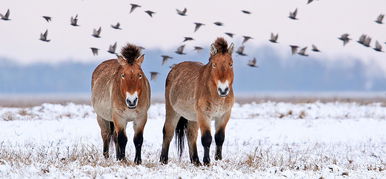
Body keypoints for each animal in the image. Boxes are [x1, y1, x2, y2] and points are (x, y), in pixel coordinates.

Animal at [160, 37, 235, 166]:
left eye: (230, 64)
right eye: (214, 64)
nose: (223, 89)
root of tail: (174, 69)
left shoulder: (224, 115)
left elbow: (219, 138)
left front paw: (218, 159)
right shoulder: (204, 115)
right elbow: (207, 139)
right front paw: (207, 162)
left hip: (192, 117)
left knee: (191, 135)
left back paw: (195, 161)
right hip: (173, 111)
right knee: (168, 131)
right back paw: (163, 160)